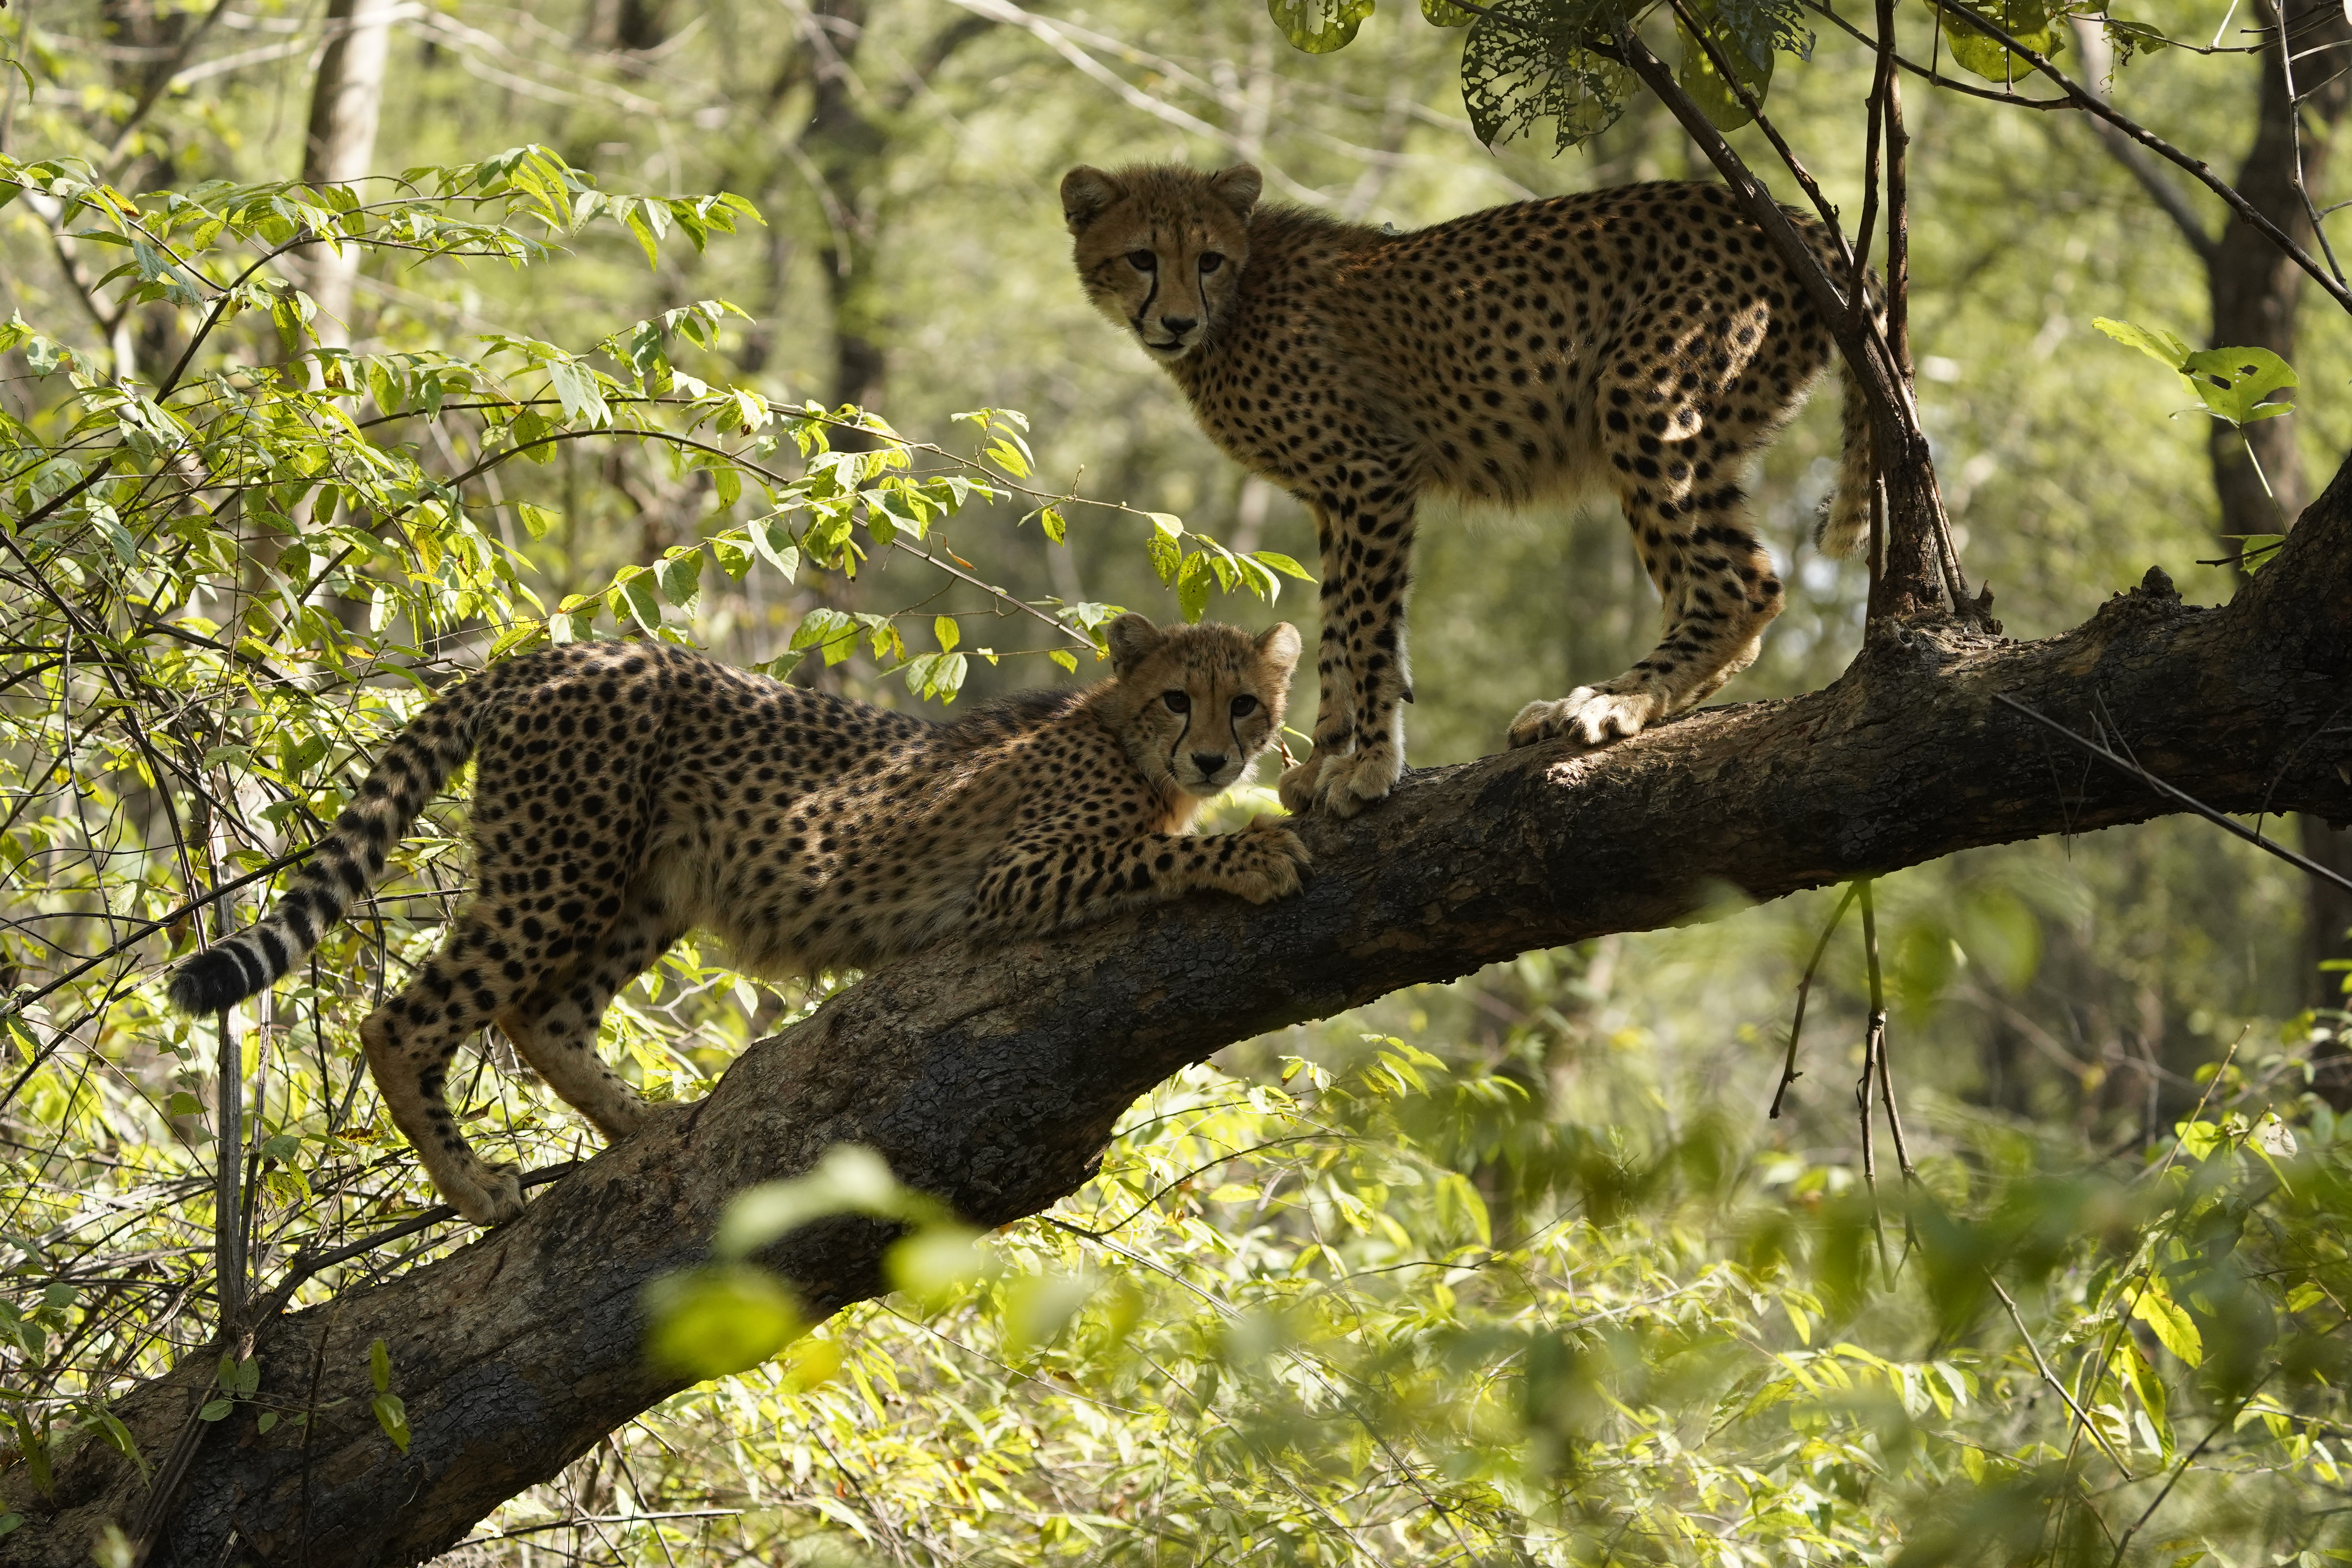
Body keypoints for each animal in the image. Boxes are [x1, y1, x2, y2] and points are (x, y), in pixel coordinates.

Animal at [167, 614, 1308, 1225]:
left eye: (1245, 702)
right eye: (1178, 698)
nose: (1218, 757)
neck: (1125, 738)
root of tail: (561, 650)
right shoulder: (1016, 873)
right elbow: (1155, 855)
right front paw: (1252, 852)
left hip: (645, 888)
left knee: (543, 1013)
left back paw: (641, 1124)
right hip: (559, 867)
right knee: (405, 1018)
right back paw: (476, 1185)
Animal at [1062, 161, 1876, 817]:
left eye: (1208, 260)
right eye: (1141, 258)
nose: (1175, 321)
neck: (1237, 300)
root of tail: (1787, 213)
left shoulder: (1373, 471)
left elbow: (1369, 638)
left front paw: (1367, 766)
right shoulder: (1335, 497)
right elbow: (1336, 633)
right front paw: (1327, 757)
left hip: (1646, 403)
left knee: (1739, 585)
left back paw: (1616, 701)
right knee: (1718, 587)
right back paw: (1605, 700)